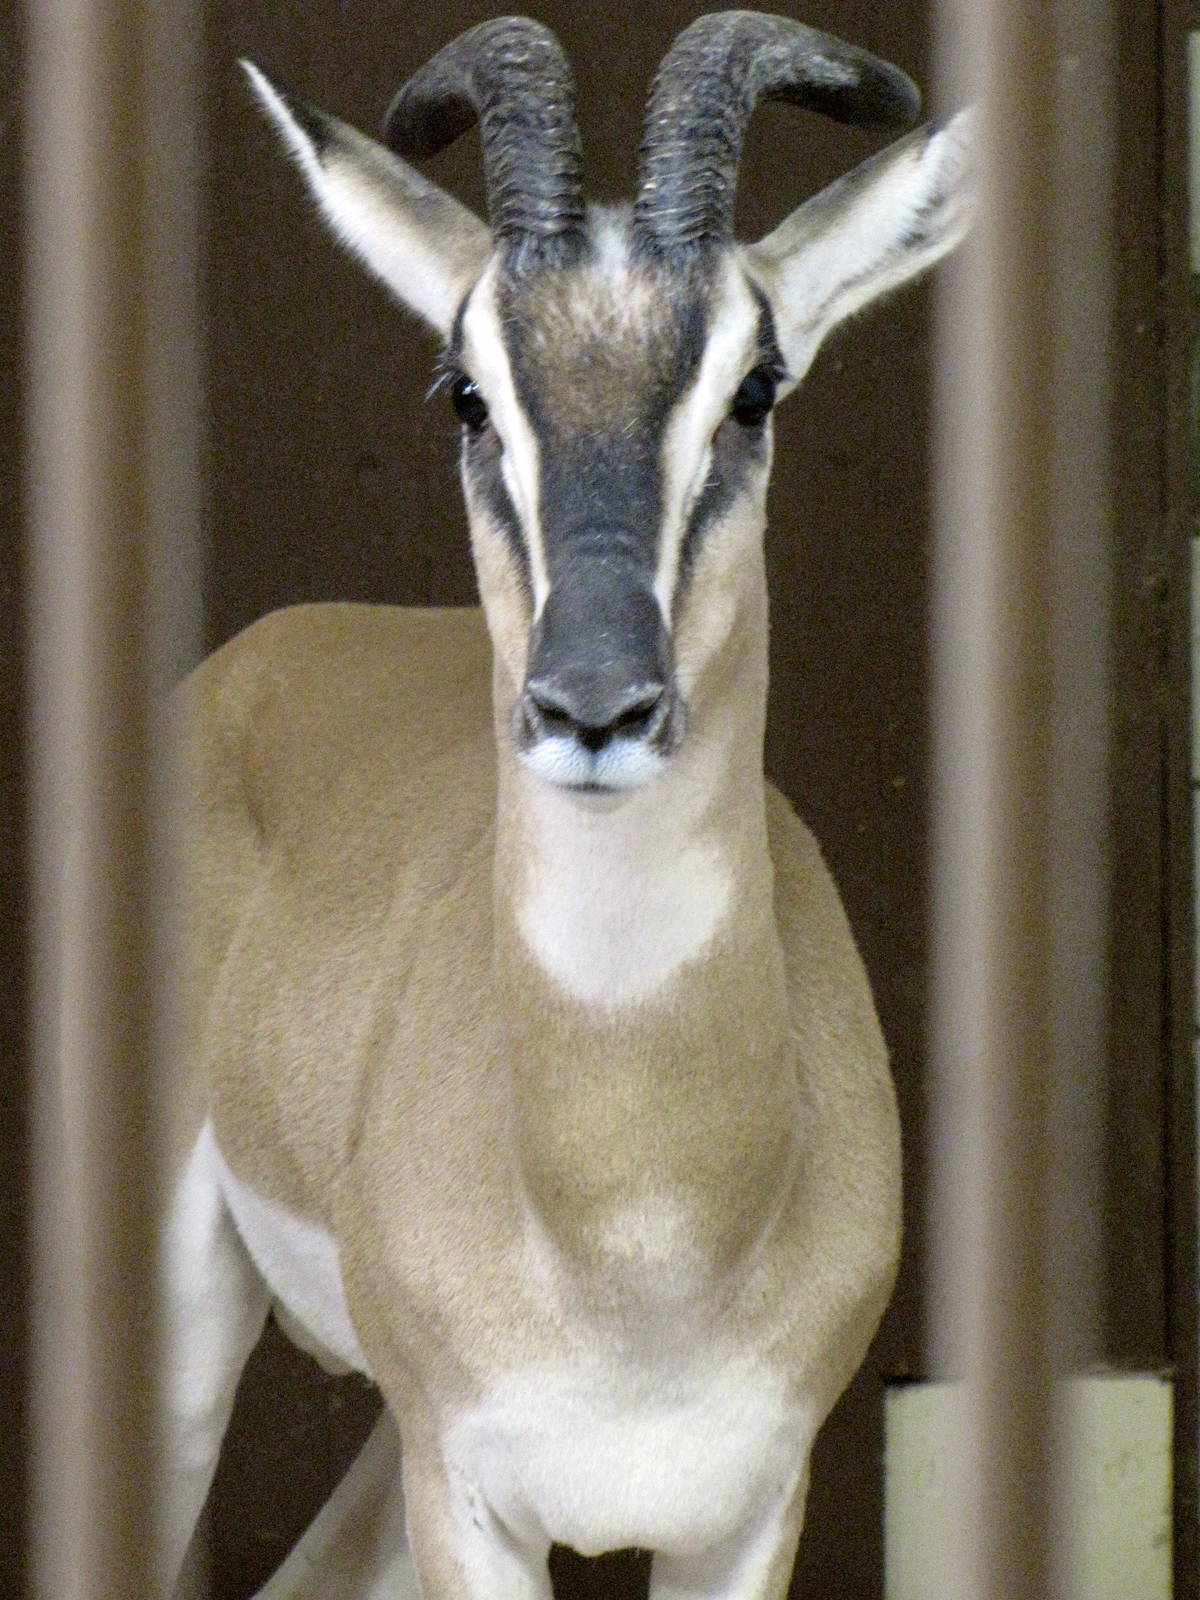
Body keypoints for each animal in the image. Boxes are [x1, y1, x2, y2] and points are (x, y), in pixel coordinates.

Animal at [164, 13, 972, 1597]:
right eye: (469, 389)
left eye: (757, 385)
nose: (593, 702)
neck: (638, 1234)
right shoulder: (467, 1492)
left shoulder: (747, 1506)